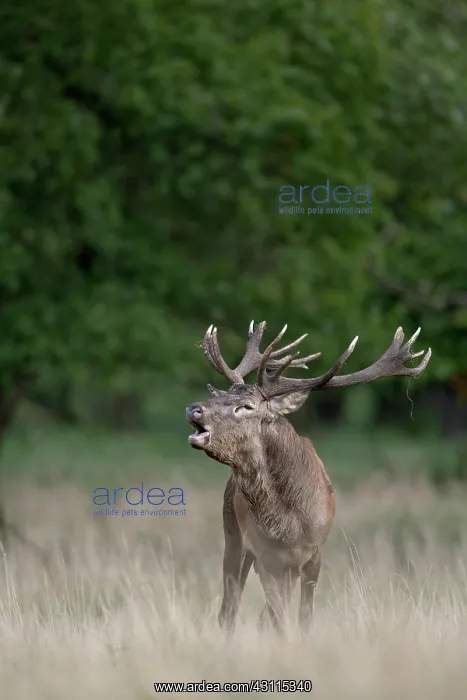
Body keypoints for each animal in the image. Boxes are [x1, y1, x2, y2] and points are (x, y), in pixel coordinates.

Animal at [186, 322, 431, 633]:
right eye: (223, 396)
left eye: (246, 407)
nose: (194, 408)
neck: (289, 524)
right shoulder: (266, 555)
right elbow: (277, 618)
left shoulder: (314, 554)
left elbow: (303, 616)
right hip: (233, 534)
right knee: (229, 610)